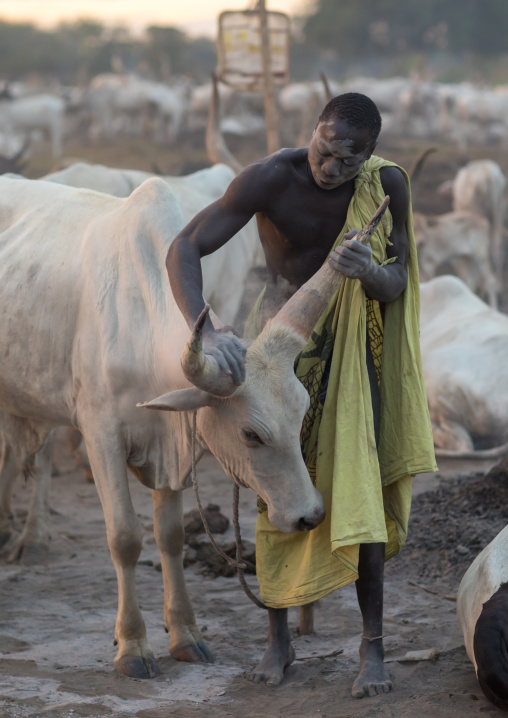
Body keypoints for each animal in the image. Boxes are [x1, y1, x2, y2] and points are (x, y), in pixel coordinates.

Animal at [0, 174, 326, 677]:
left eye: (302, 413)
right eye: (251, 434)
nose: (310, 515)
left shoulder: (170, 446)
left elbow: (170, 537)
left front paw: (186, 635)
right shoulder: (100, 436)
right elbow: (125, 538)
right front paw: (132, 645)